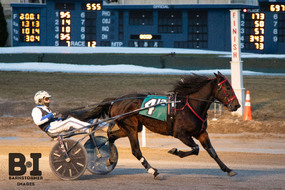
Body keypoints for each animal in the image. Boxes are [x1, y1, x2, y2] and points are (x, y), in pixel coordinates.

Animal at [69, 71, 240, 180]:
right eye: (227, 87)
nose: (237, 105)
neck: (191, 105)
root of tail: (115, 100)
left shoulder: (201, 133)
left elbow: (212, 152)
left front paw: (228, 169)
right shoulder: (181, 134)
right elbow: (196, 149)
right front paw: (175, 150)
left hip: (129, 127)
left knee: (111, 136)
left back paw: (110, 159)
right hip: (130, 127)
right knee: (136, 151)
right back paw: (153, 171)